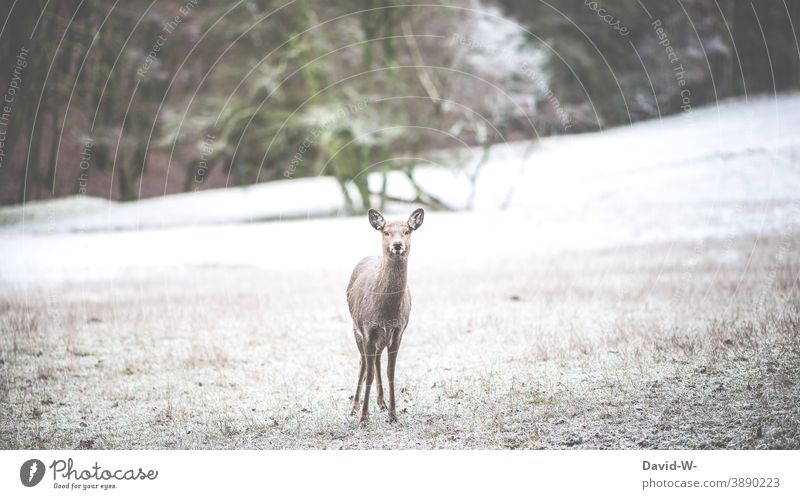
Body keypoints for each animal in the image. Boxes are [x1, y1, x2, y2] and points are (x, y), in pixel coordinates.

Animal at [348, 209, 424, 424]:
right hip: (356, 328)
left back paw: (381, 402)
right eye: (386, 232)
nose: (397, 245)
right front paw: (364, 417)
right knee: (364, 363)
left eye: (407, 231)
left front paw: (393, 414)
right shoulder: (367, 329)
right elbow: (369, 371)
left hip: (381, 337)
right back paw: (354, 407)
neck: (386, 312)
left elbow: (391, 371)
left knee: (376, 360)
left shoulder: (398, 330)